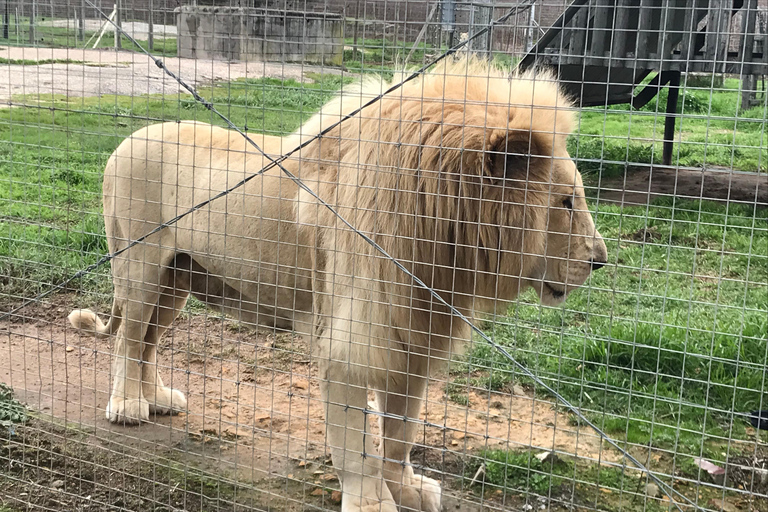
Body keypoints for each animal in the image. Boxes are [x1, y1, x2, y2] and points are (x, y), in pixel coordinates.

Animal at [69, 56, 607, 512]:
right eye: (565, 203)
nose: (600, 262)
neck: (446, 236)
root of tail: (125, 141)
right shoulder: (353, 340)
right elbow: (358, 443)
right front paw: (372, 502)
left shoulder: (413, 338)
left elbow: (401, 431)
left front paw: (406, 488)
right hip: (141, 269)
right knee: (127, 339)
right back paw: (127, 407)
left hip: (178, 278)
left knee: (148, 342)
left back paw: (158, 399)